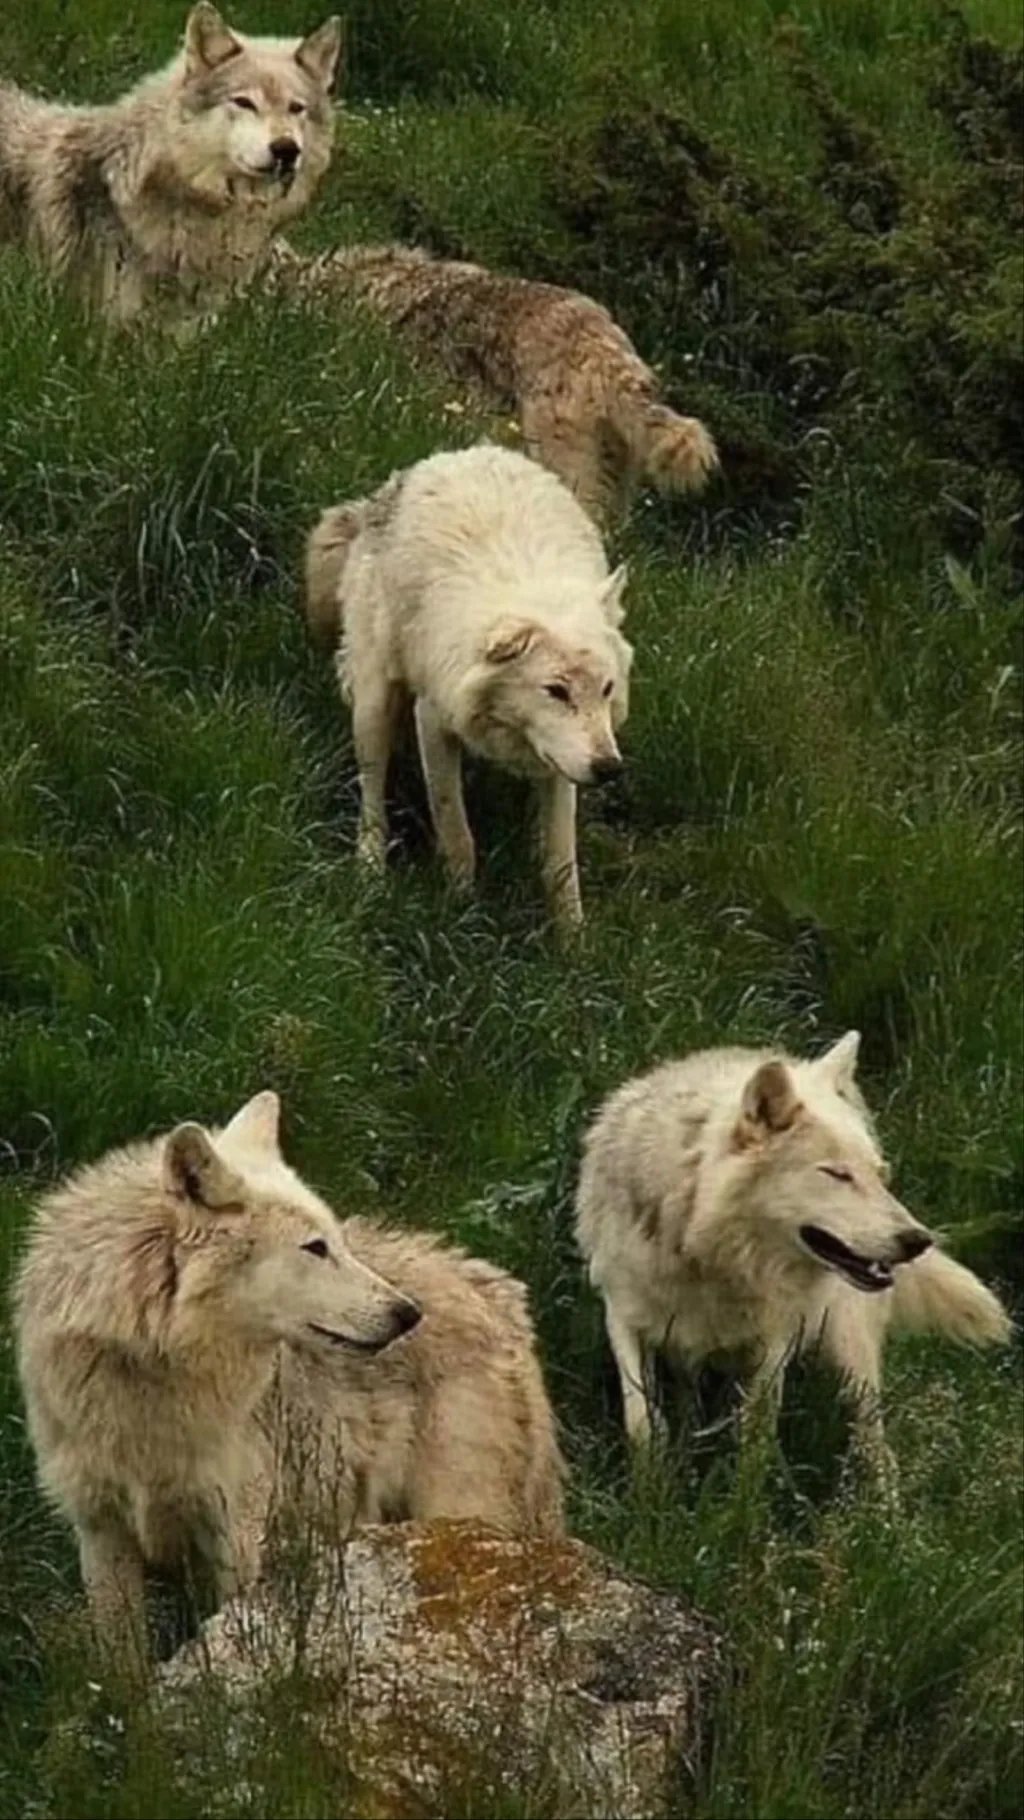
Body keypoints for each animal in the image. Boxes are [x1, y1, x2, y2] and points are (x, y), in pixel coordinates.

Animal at [13, 1090, 565, 1665]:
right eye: (315, 1247)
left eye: (338, 1240)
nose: (409, 1314)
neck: (150, 1372)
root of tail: (496, 1294)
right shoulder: (101, 1531)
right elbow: (121, 1663)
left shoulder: (237, 1533)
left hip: (458, 1514)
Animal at [305, 443, 634, 930]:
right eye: (556, 690)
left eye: (607, 689)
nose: (610, 768)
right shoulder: (432, 721)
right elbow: (458, 836)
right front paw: (458, 910)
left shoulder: (562, 761)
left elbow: (561, 865)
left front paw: (574, 942)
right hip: (374, 705)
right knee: (372, 792)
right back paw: (369, 871)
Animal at [574, 1033, 1012, 1484]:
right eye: (837, 1174)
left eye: (878, 1175)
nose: (917, 1241)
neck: (713, 1256)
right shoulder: (624, 1315)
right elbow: (643, 1423)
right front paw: (652, 1489)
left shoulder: (775, 1339)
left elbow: (756, 1435)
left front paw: (744, 1497)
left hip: (849, 1350)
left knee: (874, 1441)